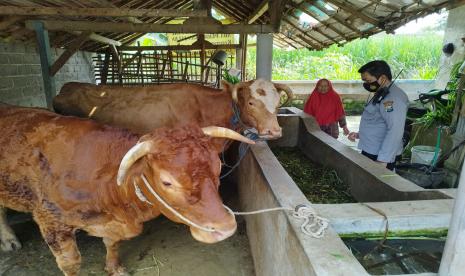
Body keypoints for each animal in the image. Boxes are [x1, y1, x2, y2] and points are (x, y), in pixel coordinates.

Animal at [0, 104, 252, 276]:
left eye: (218, 167)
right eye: (167, 182)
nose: (225, 228)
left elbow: (112, 244)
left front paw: (114, 268)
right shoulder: (51, 220)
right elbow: (70, 263)